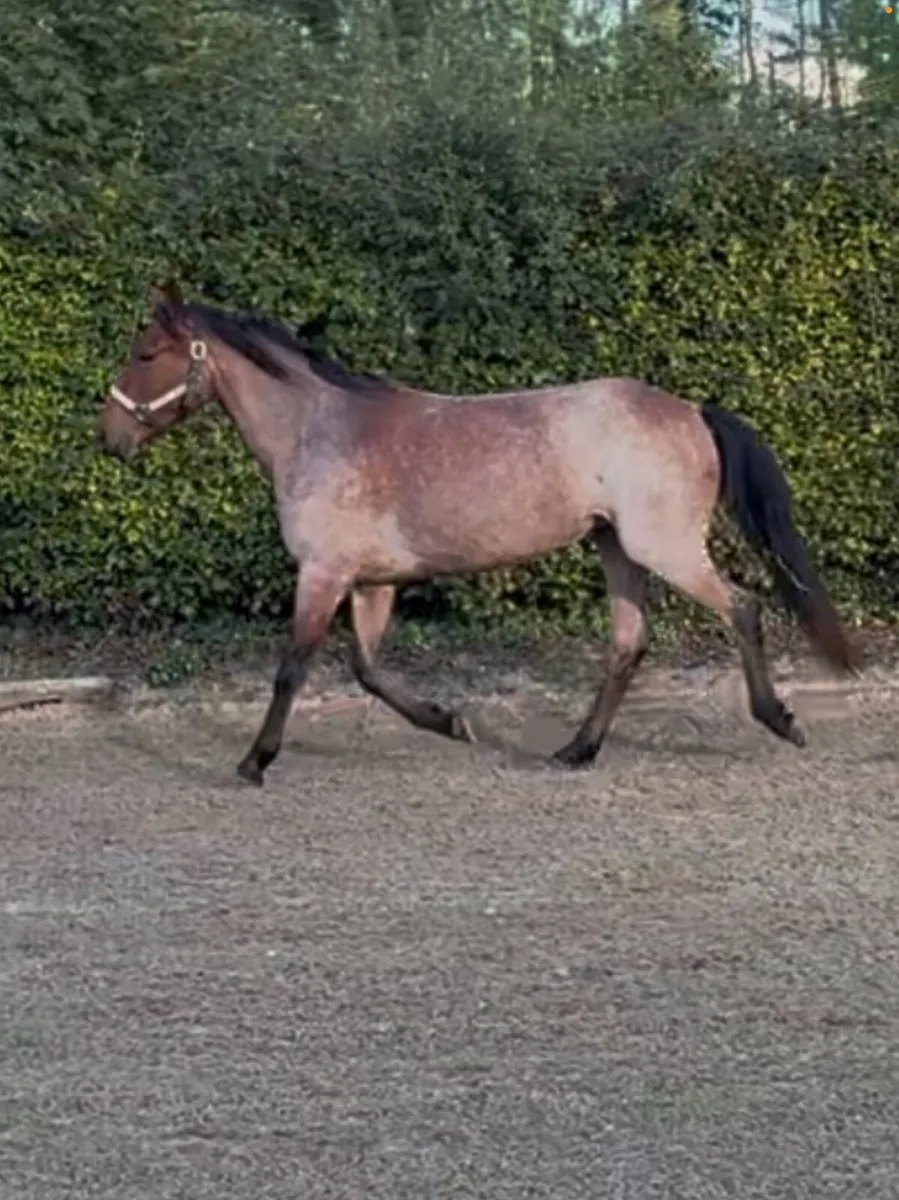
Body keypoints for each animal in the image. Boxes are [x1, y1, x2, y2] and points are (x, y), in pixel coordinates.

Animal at [98, 281, 858, 786]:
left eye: (146, 352)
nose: (110, 438)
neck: (322, 432)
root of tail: (692, 411)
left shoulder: (322, 574)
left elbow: (293, 667)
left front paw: (254, 761)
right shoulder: (373, 583)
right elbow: (367, 669)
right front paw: (450, 721)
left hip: (662, 548)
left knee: (742, 609)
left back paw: (778, 719)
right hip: (614, 548)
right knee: (627, 644)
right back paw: (575, 751)